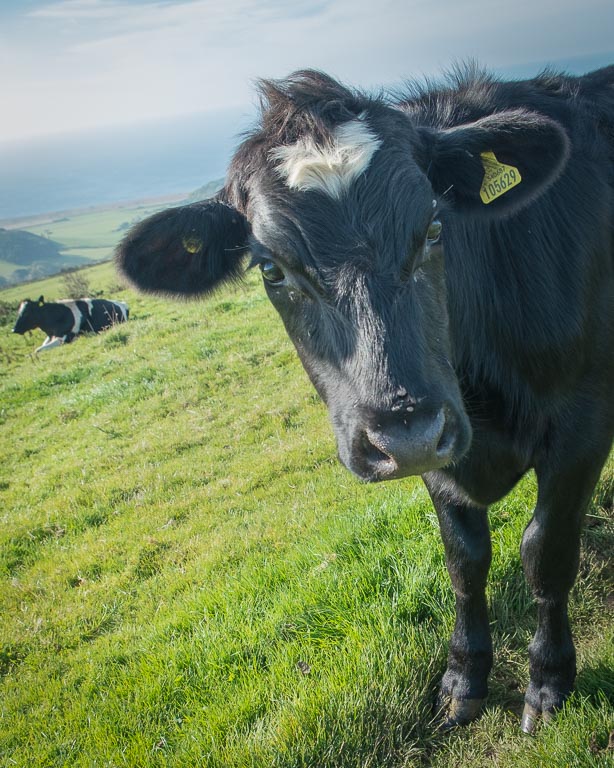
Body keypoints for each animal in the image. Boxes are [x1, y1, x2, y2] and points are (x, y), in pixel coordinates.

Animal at [115, 65, 614, 733]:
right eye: (270, 269)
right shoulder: (441, 446)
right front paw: (464, 677)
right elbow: (464, 559)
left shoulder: (582, 424)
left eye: (434, 227)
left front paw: (548, 680)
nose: (405, 433)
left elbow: (545, 553)